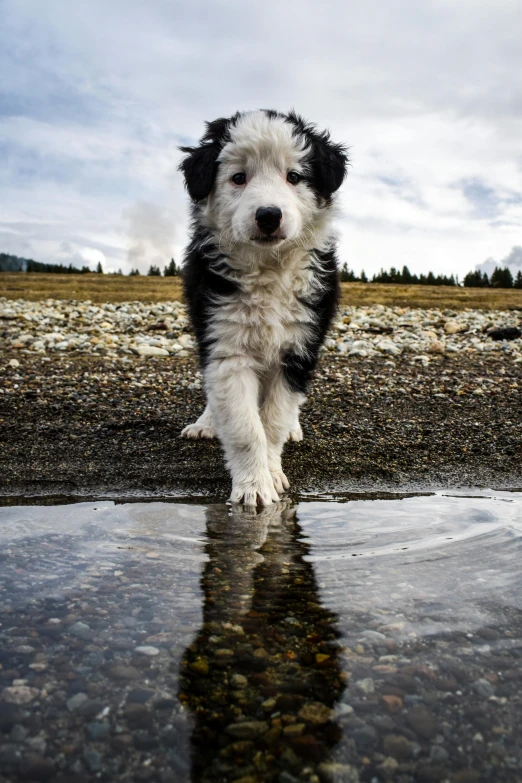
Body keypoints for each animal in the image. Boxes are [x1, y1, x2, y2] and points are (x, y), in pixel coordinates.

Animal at [179, 110, 346, 508]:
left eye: (294, 176)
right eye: (238, 177)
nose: (269, 215)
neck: (268, 269)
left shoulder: (299, 347)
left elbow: (272, 421)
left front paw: (270, 475)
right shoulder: (226, 345)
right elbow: (243, 426)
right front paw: (253, 489)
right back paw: (206, 424)